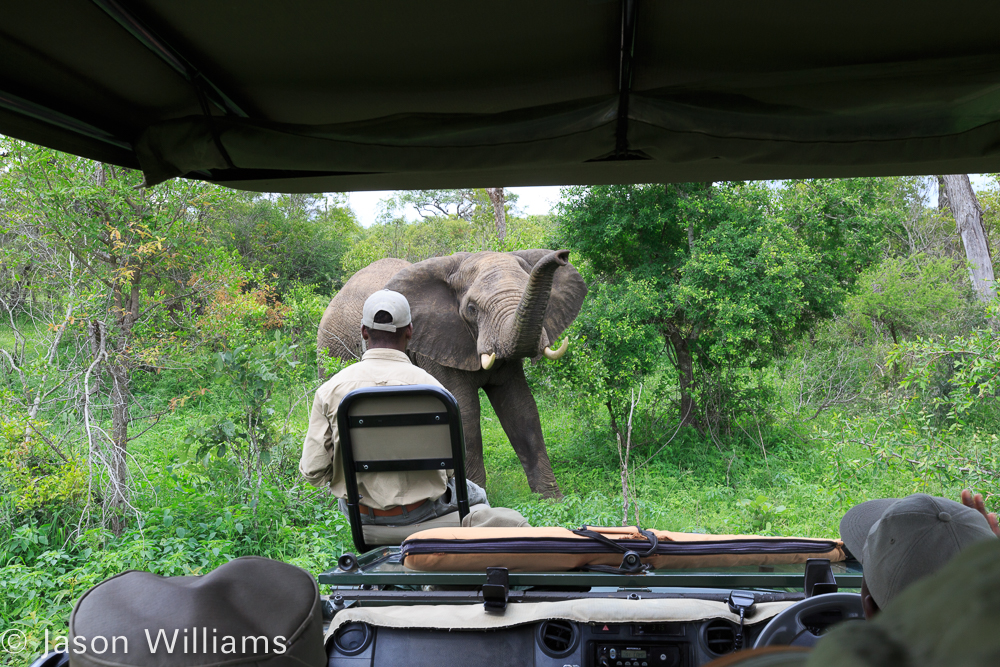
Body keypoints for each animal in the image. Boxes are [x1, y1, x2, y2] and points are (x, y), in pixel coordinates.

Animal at [318, 250, 584, 500]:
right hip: (332, 349)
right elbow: (465, 412)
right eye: (472, 309)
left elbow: (521, 408)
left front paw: (552, 500)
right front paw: (476, 494)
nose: (562, 255)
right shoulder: (436, 346)